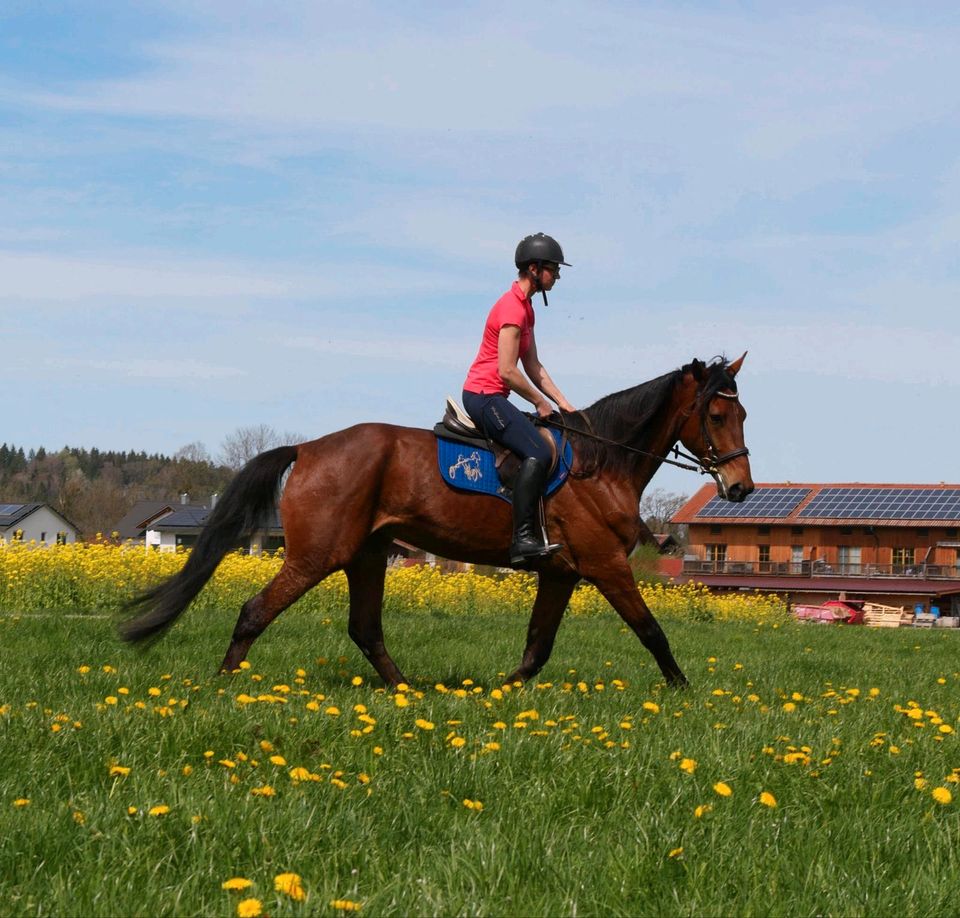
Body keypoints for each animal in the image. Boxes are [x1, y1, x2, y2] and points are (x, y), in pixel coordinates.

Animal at [122, 356, 752, 688]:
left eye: (742, 412)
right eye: (718, 415)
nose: (741, 488)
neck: (602, 463)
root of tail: (308, 448)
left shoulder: (561, 573)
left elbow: (537, 646)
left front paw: (502, 695)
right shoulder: (605, 565)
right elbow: (651, 631)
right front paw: (684, 694)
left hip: (367, 555)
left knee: (365, 629)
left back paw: (407, 693)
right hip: (317, 555)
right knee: (255, 612)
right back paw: (226, 686)